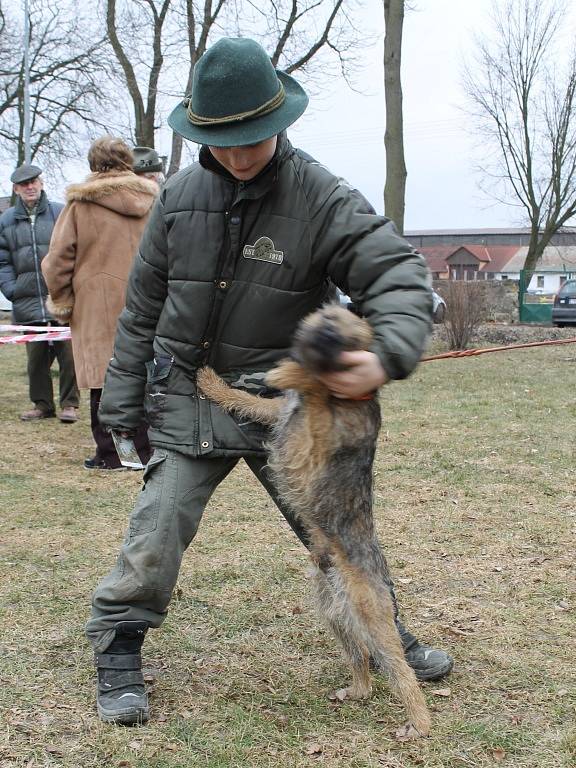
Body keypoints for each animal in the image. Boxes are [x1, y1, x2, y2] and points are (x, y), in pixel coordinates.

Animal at [196, 304, 430, 736]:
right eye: (329, 321)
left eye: (349, 341)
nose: (322, 342)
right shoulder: (280, 413)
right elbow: (245, 398)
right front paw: (214, 383)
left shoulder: (316, 427)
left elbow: (314, 387)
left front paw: (288, 373)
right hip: (334, 614)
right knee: (360, 659)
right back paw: (357, 690)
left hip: (371, 615)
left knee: (401, 670)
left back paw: (419, 723)